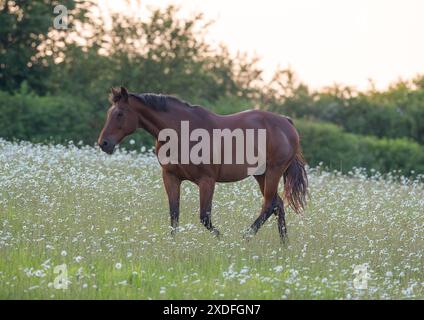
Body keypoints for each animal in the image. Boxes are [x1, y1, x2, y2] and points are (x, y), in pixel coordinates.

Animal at [97, 86, 306, 241]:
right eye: (109, 113)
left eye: (120, 114)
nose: (103, 143)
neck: (181, 132)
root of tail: (286, 122)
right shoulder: (171, 177)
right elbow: (174, 214)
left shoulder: (207, 181)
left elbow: (205, 217)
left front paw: (222, 239)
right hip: (260, 175)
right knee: (278, 205)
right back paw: (284, 245)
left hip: (273, 172)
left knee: (269, 205)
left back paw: (245, 237)